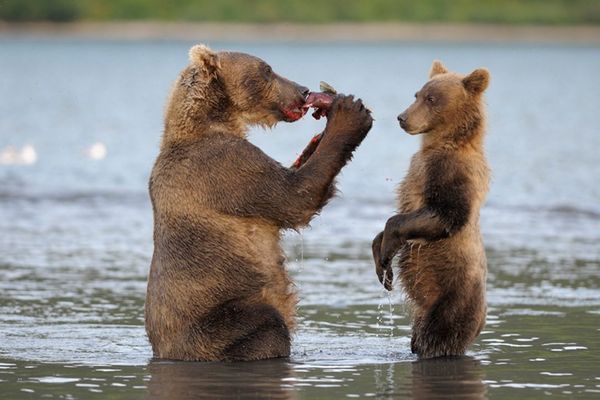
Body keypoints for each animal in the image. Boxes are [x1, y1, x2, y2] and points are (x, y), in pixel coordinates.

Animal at [370, 60, 492, 360]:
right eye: (417, 94)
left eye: (432, 99)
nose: (402, 117)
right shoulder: (419, 168)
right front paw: (383, 267)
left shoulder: (452, 173)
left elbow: (446, 215)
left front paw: (388, 248)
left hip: (452, 301)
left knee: (435, 338)